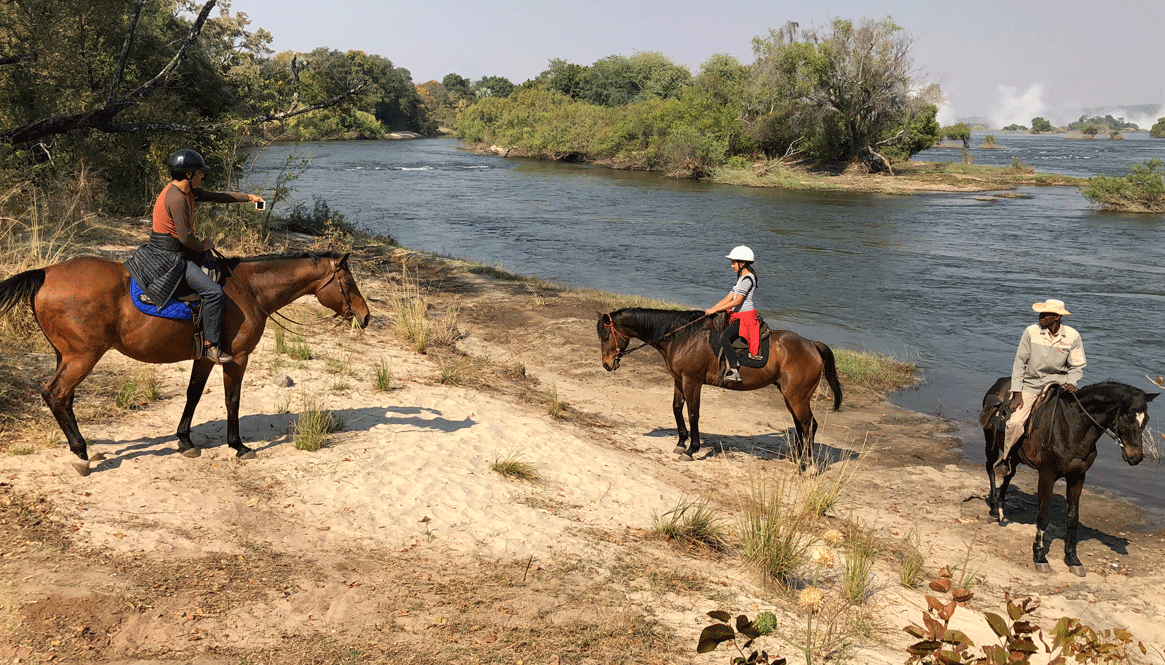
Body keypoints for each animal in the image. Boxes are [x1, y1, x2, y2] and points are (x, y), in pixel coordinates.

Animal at [0, 252, 370, 475]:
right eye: (349, 283)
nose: (366, 317)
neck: (248, 289)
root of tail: (46, 273)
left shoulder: (204, 357)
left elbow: (193, 395)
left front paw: (185, 441)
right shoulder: (236, 359)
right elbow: (232, 402)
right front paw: (238, 446)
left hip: (67, 356)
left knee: (64, 400)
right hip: (82, 357)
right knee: (55, 394)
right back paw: (81, 454)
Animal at [601, 307, 838, 461]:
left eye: (605, 336)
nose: (606, 364)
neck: (682, 336)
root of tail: (811, 345)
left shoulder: (692, 381)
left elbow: (693, 414)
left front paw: (691, 450)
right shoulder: (678, 379)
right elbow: (677, 408)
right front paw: (681, 442)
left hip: (797, 397)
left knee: (809, 425)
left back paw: (806, 463)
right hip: (791, 396)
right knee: (800, 425)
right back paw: (797, 457)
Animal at [983, 379, 1155, 577]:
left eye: (1146, 420)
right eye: (1127, 418)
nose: (1136, 457)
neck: (1072, 427)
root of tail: (998, 384)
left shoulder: (1077, 476)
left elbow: (1073, 517)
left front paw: (1073, 559)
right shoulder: (1047, 475)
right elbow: (1043, 515)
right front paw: (1040, 556)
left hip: (1015, 455)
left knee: (1009, 475)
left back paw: (1001, 507)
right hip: (991, 443)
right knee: (991, 469)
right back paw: (994, 509)